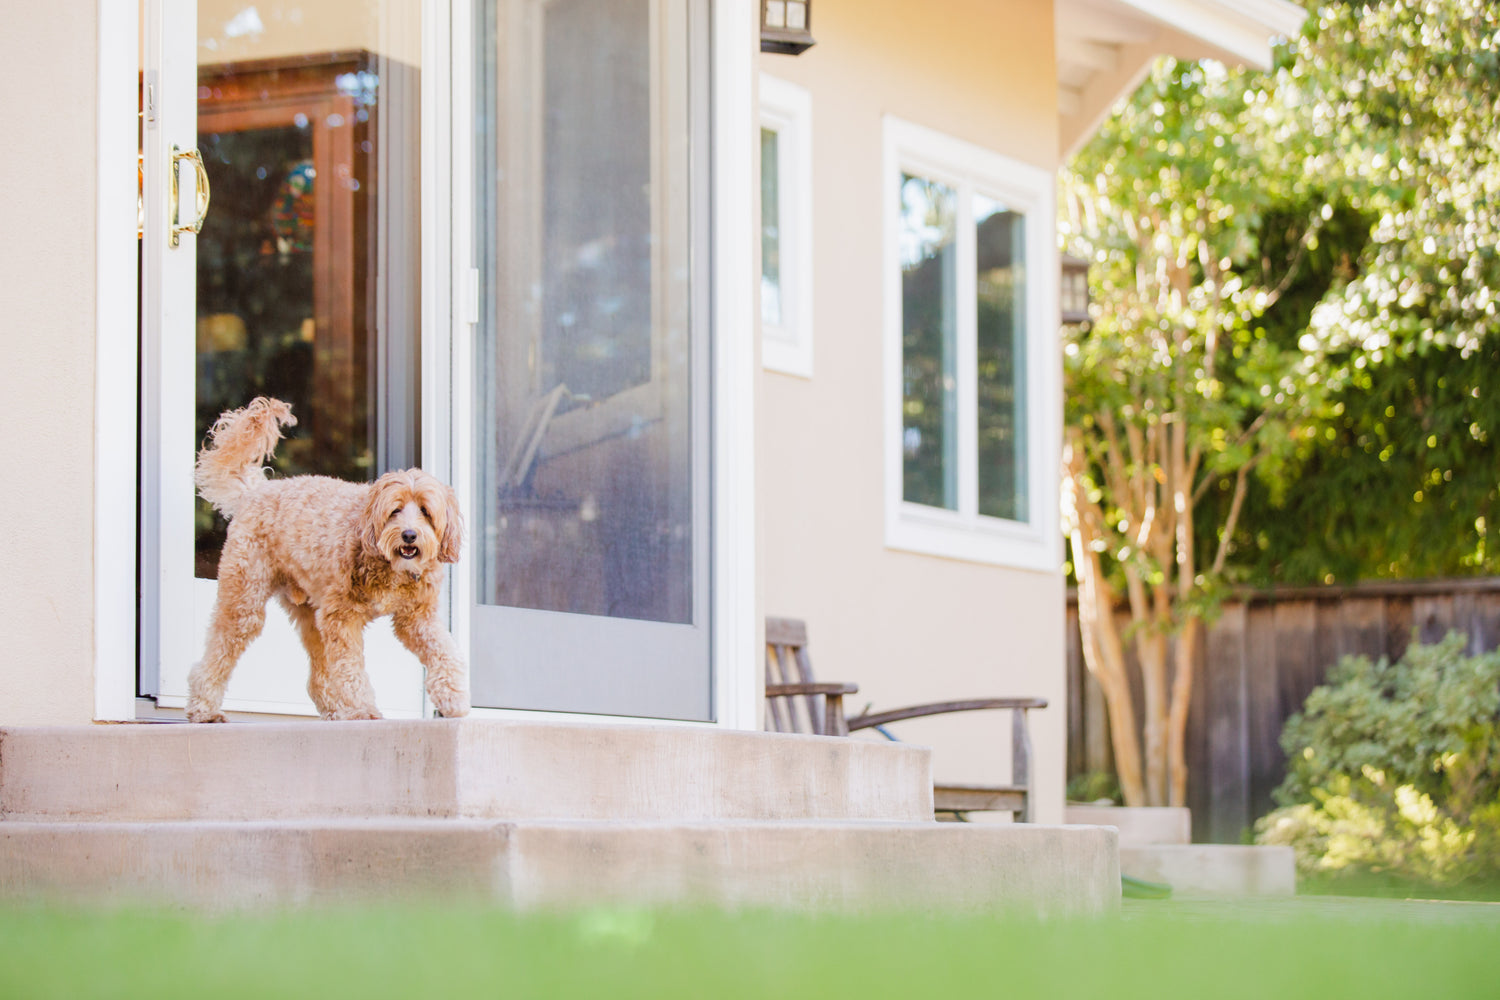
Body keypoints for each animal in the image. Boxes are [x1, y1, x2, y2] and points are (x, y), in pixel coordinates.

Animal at [187, 395, 468, 719]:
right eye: (395, 510)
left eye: (425, 511)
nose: (409, 535)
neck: (389, 567)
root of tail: (255, 491)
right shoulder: (341, 618)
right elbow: (349, 670)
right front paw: (363, 711)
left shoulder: (415, 618)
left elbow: (444, 651)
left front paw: (454, 697)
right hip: (245, 599)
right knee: (217, 653)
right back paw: (203, 708)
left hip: (311, 615)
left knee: (318, 677)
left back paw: (334, 711)